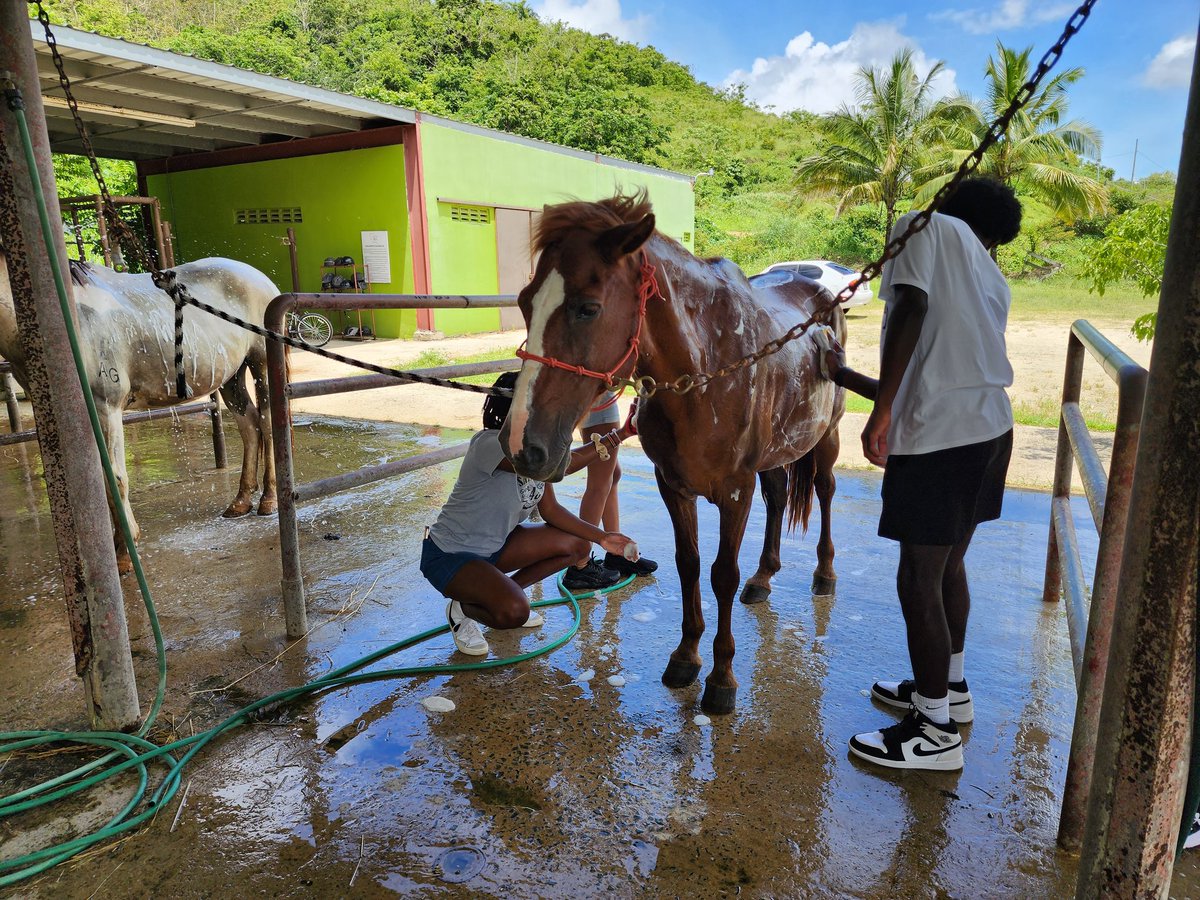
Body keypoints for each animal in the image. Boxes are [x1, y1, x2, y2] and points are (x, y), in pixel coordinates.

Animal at [1, 247, 280, 571]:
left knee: (267, 425)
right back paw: (241, 501)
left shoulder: (106, 409)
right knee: (249, 426)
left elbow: (116, 480)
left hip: (260, 364)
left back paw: (269, 500)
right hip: (230, 377)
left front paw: (124, 555)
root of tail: (259, 276)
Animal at [496, 194, 844, 715]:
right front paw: (686, 657)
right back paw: (763, 577)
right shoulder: (673, 486)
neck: (708, 368)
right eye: (523, 302)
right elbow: (690, 564)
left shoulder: (735, 491)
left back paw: (824, 573)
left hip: (826, 438)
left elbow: (721, 574)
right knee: (780, 497)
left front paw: (721, 678)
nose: (522, 444)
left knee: (823, 491)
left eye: (588, 308)